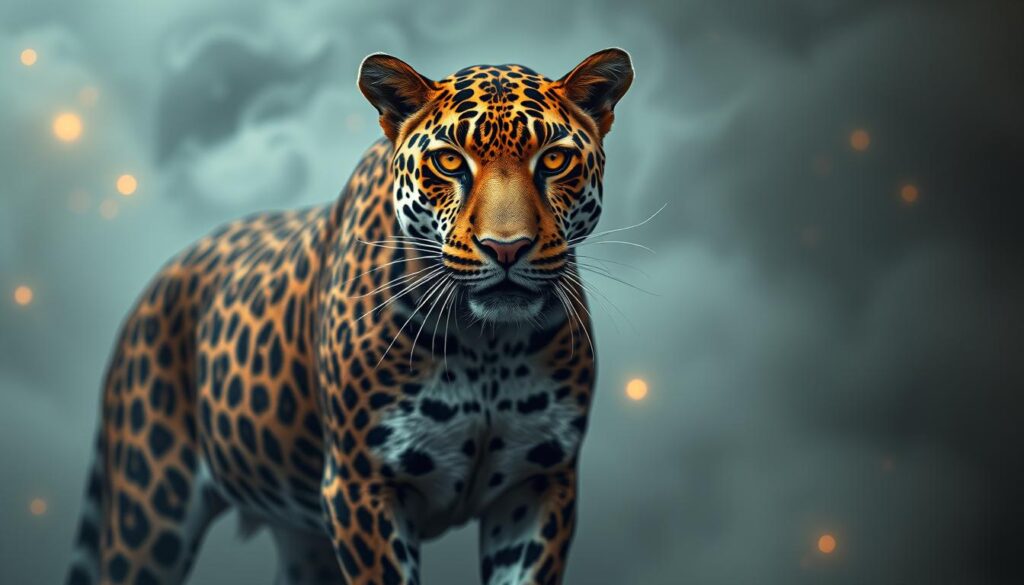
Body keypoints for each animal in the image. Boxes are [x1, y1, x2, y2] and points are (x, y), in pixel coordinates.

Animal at [64, 47, 633, 585]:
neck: (488, 346)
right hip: (150, 507)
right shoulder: (361, 486)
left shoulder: (539, 481)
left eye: (554, 160)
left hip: (303, 538)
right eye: (450, 162)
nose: (506, 248)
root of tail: (155, 285)